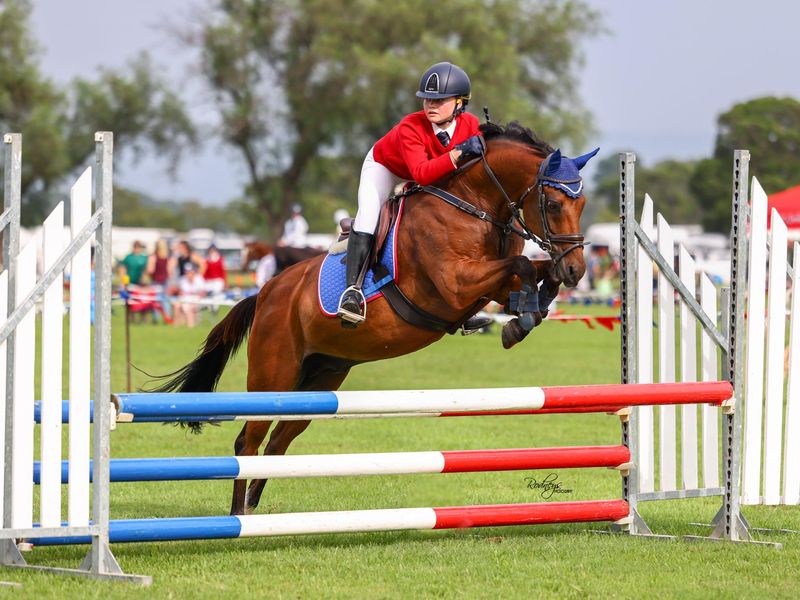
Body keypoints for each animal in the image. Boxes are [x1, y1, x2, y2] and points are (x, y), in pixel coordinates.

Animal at [153, 121, 595, 516]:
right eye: (553, 204)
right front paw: (521, 319)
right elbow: (521, 265)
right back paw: (237, 515)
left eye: (582, 204)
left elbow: (532, 271)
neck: (474, 205)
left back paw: (253, 507)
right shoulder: (455, 285)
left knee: (278, 441)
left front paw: (531, 308)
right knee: (248, 442)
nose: (577, 269)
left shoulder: (489, 285)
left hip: (322, 378)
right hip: (273, 374)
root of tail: (265, 294)